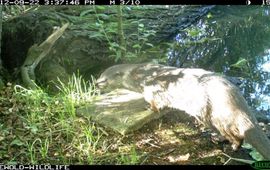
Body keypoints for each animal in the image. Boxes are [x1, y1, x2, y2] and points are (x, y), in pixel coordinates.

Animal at [96, 63, 270, 160]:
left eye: (103, 79)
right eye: (99, 75)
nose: (96, 83)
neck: (140, 76)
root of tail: (233, 99)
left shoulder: (151, 91)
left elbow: (155, 104)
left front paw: (148, 108)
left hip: (211, 114)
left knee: (236, 135)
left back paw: (227, 143)